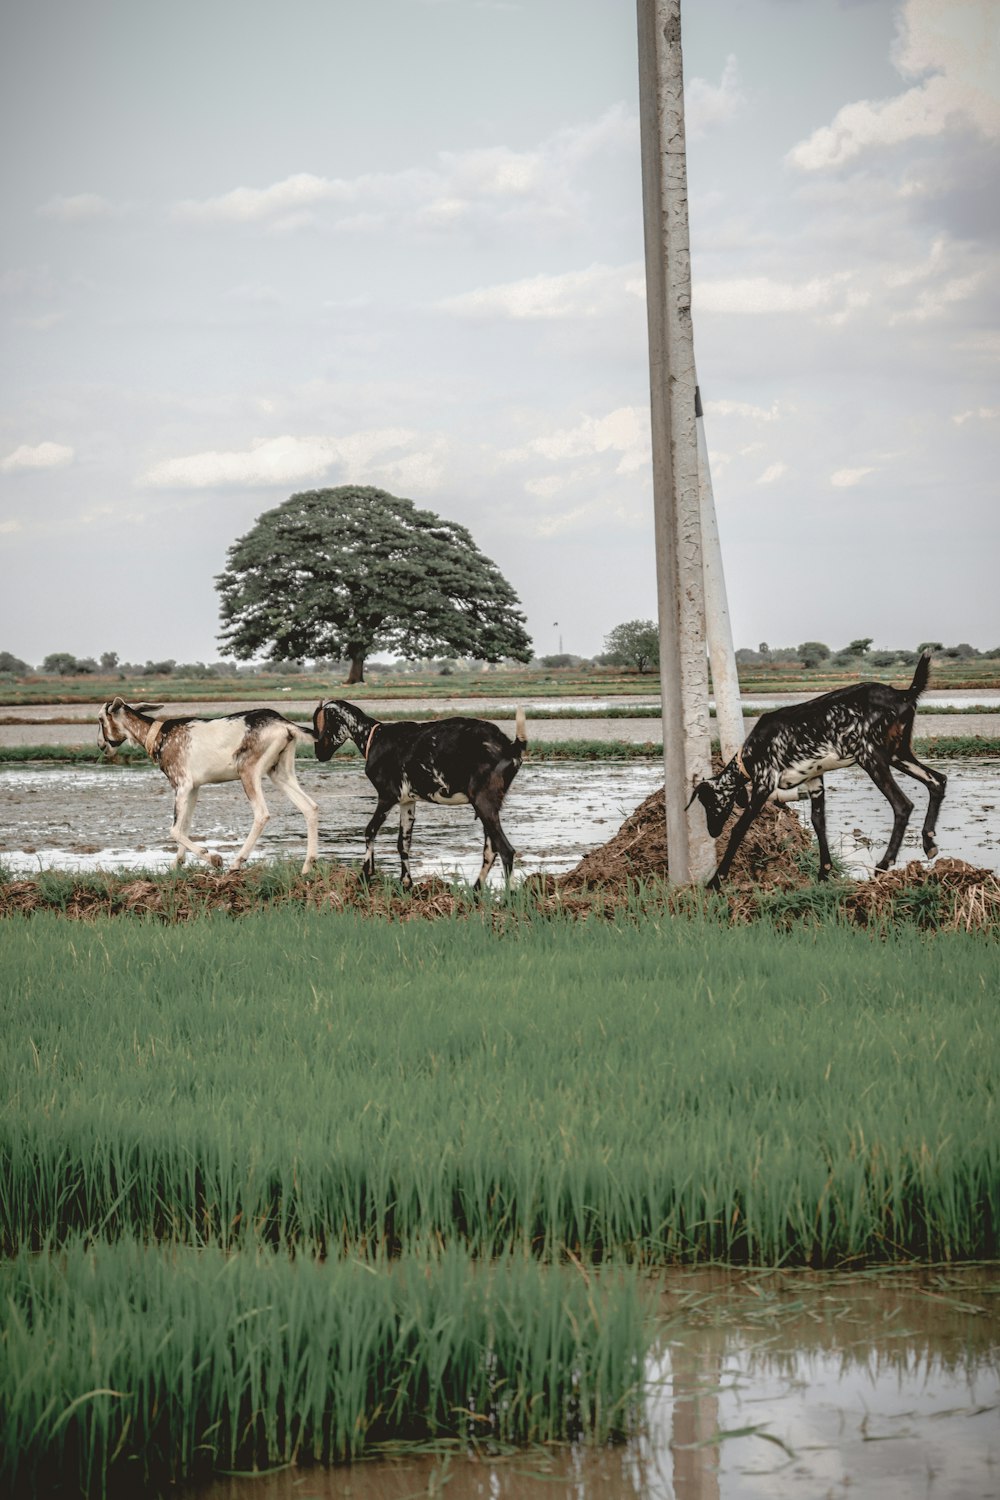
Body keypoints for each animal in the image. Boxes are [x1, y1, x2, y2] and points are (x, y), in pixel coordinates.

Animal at [96, 696, 319, 876]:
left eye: (100, 719)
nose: (100, 745)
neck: (160, 736)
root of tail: (284, 724)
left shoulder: (182, 784)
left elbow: (174, 829)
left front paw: (213, 858)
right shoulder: (194, 788)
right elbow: (185, 825)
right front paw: (177, 864)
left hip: (248, 771)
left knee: (262, 814)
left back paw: (237, 862)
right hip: (280, 772)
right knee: (310, 807)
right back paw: (308, 865)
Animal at [314, 702, 530, 888]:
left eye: (320, 726)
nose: (318, 754)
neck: (373, 737)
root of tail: (510, 746)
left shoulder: (387, 796)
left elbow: (370, 831)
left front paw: (365, 875)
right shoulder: (407, 802)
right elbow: (403, 843)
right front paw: (406, 883)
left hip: (484, 801)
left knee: (505, 850)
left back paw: (508, 897)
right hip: (488, 805)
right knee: (490, 850)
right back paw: (475, 893)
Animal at [689, 651, 947, 882]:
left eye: (707, 801)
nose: (713, 831)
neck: (750, 752)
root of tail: (903, 694)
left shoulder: (764, 782)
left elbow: (740, 828)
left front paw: (717, 879)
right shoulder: (815, 781)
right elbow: (818, 822)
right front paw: (824, 872)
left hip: (871, 757)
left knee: (903, 805)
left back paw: (884, 864)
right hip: (898, 754)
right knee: (937, 780)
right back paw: (928, 842)